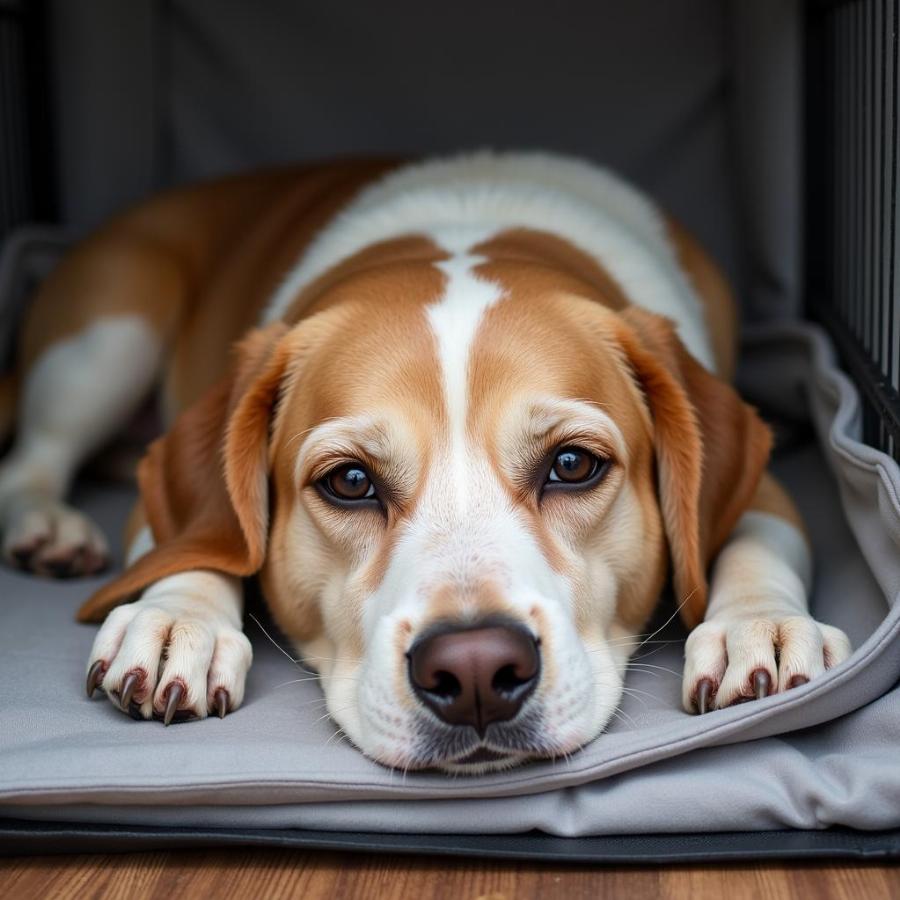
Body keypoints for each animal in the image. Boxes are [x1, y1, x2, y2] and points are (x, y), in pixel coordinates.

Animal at [0, 151, 852, 768]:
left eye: (573, 466)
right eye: (349, 481)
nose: (475, 670)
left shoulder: (762, 483)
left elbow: (753, 543)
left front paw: (758, 626)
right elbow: (202, 542)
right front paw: (179, 621)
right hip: (109, 334)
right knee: (31, 460)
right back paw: (47, 526)